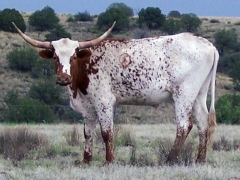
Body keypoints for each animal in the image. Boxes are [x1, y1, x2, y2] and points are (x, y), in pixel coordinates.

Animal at [13, 21, 219, 165]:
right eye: (55, 57)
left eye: (73, 57)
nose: (63, 78)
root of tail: (208, 44)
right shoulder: (88, 107)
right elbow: (88, 133)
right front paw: (86, 160)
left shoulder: (104, 102)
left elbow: (106, 132)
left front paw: (109, 161)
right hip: (198, 94)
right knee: (203, 122)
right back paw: (200, 159)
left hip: (183, 93)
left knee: (184, 126)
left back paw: (169, 159)